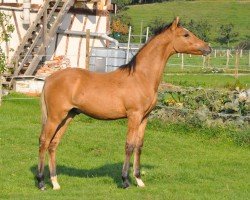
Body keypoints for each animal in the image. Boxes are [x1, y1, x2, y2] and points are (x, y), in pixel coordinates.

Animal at [35, 16, 211, 189]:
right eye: (186, 34)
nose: (208, 48)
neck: (141, 77)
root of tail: (50, 78)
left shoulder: (144, 118)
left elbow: (139, 146)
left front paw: (139, 180)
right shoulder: (134, 116)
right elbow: (129, 145)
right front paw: (125, 180)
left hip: (68, 116)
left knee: (53, 144)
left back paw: (55, 182)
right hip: (55, 117)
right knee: (44, 141)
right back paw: (41, 181)